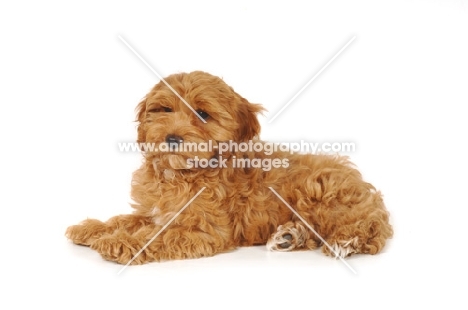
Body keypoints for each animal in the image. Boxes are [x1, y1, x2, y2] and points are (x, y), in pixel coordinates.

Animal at [66, 71, 394, 266]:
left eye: (202, 114)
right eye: (165, 110)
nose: (171, 138)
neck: (182, 173)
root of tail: (370, 195)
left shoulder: (208, 230)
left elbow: (158, 235)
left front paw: (120, 242)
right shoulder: (152, 212)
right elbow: (127, 219)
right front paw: (93, 228)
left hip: (319, 192)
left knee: (366, 228)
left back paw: (345, 240)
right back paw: (289, 237)